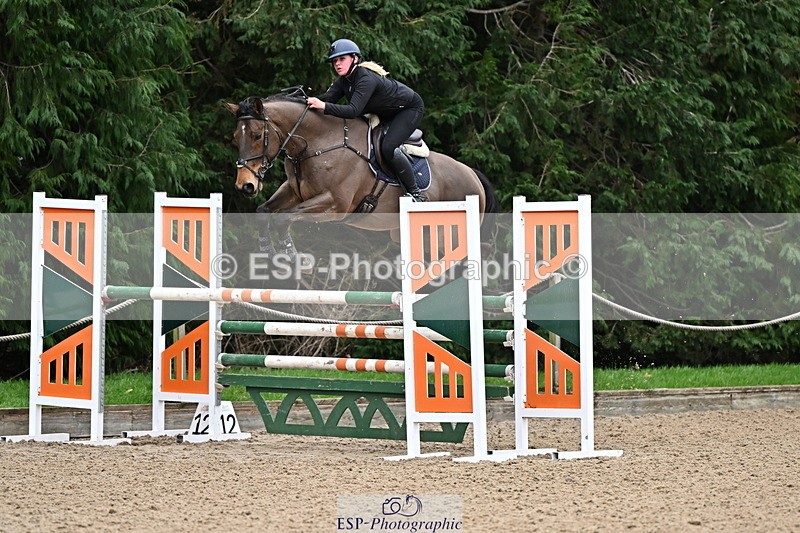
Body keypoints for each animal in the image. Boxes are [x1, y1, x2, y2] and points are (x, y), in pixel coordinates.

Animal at [223, 91, 499, 257]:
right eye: (235, 138)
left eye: (257, 135)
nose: (245, 186)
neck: (317, 143)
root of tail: (473, 175)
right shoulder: (295, 192)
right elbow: (263, 212)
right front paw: (267, 249)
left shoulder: (336, 205)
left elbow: (284, 218)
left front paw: (292, 256)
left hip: (445, 236)